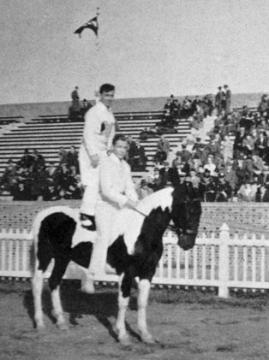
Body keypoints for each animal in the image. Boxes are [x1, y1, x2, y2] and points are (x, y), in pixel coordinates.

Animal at [31, 184, 201, 344]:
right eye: (189, 209)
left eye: (199, 211)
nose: (188, 243)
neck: (140, 230)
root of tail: (45, 214)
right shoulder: (127, 272)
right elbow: (123, 302)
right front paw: (122, 335)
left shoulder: (148, 272)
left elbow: (142, 302)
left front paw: (145, 335)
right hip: (44, 256)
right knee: (38, 284)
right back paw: (39, 323)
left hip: (62, 258)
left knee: (54, 282)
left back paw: (61, 322)